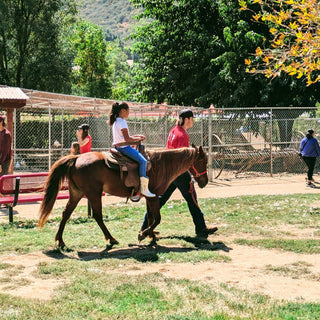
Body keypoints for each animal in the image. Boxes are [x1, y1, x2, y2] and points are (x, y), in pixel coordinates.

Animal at [37, 145, 209, 248]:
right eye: (204, 161)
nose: (205, 181)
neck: (161, 165)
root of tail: (76, 158)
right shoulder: (153, 196)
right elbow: (157, 218)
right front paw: (143, 234)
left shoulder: (149, 198)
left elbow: (151, 218)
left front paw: (151, 236)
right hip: (93, 193)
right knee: (97, 216)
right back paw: (111, 238)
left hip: (77, 193)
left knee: (66, 213)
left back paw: (60, 240)